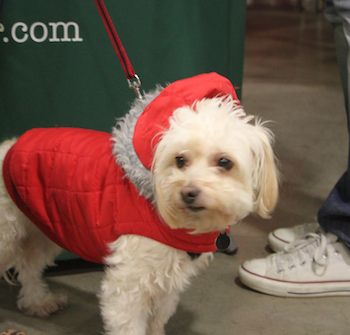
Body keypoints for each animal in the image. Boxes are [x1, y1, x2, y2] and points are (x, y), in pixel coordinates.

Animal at [0, 73, 278, 335]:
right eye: (180, 160)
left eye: (224, 162)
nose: (188, 192)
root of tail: (9, 148)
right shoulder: (127, 285)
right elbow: (129, 323)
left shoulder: (166, 280)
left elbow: (157, 319)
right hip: (10, 237)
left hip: (43, 229)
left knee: (28, 266)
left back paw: (37, 302)